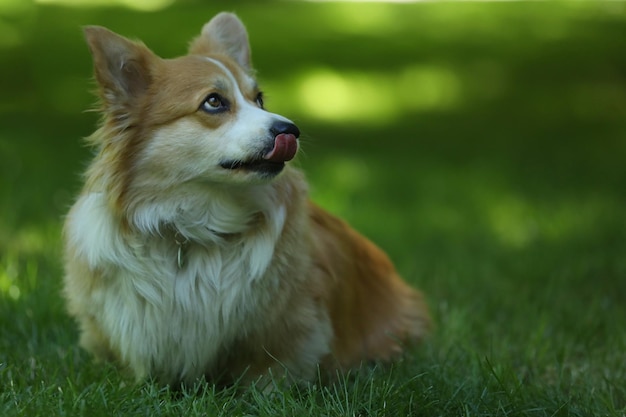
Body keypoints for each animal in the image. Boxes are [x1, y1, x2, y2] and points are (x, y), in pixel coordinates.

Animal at [62, 10, 428, 386]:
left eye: (260, 99)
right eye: (213, 101)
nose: (290, 130)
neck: (195, 227)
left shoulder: (289, 328)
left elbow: (267, 368)